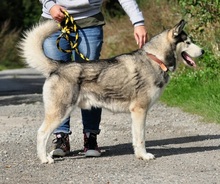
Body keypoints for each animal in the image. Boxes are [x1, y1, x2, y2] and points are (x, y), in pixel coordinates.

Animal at [18, 19, 205, 163]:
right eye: (188, 42)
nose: (203, 51)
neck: (156, 59)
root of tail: (59, 66)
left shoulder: (137, 114)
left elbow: (136, 138)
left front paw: (139, 155)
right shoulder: (140, 111)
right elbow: (141, 138)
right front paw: (144, 156)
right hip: (60, 113)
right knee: (41, 134)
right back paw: (45, 158)